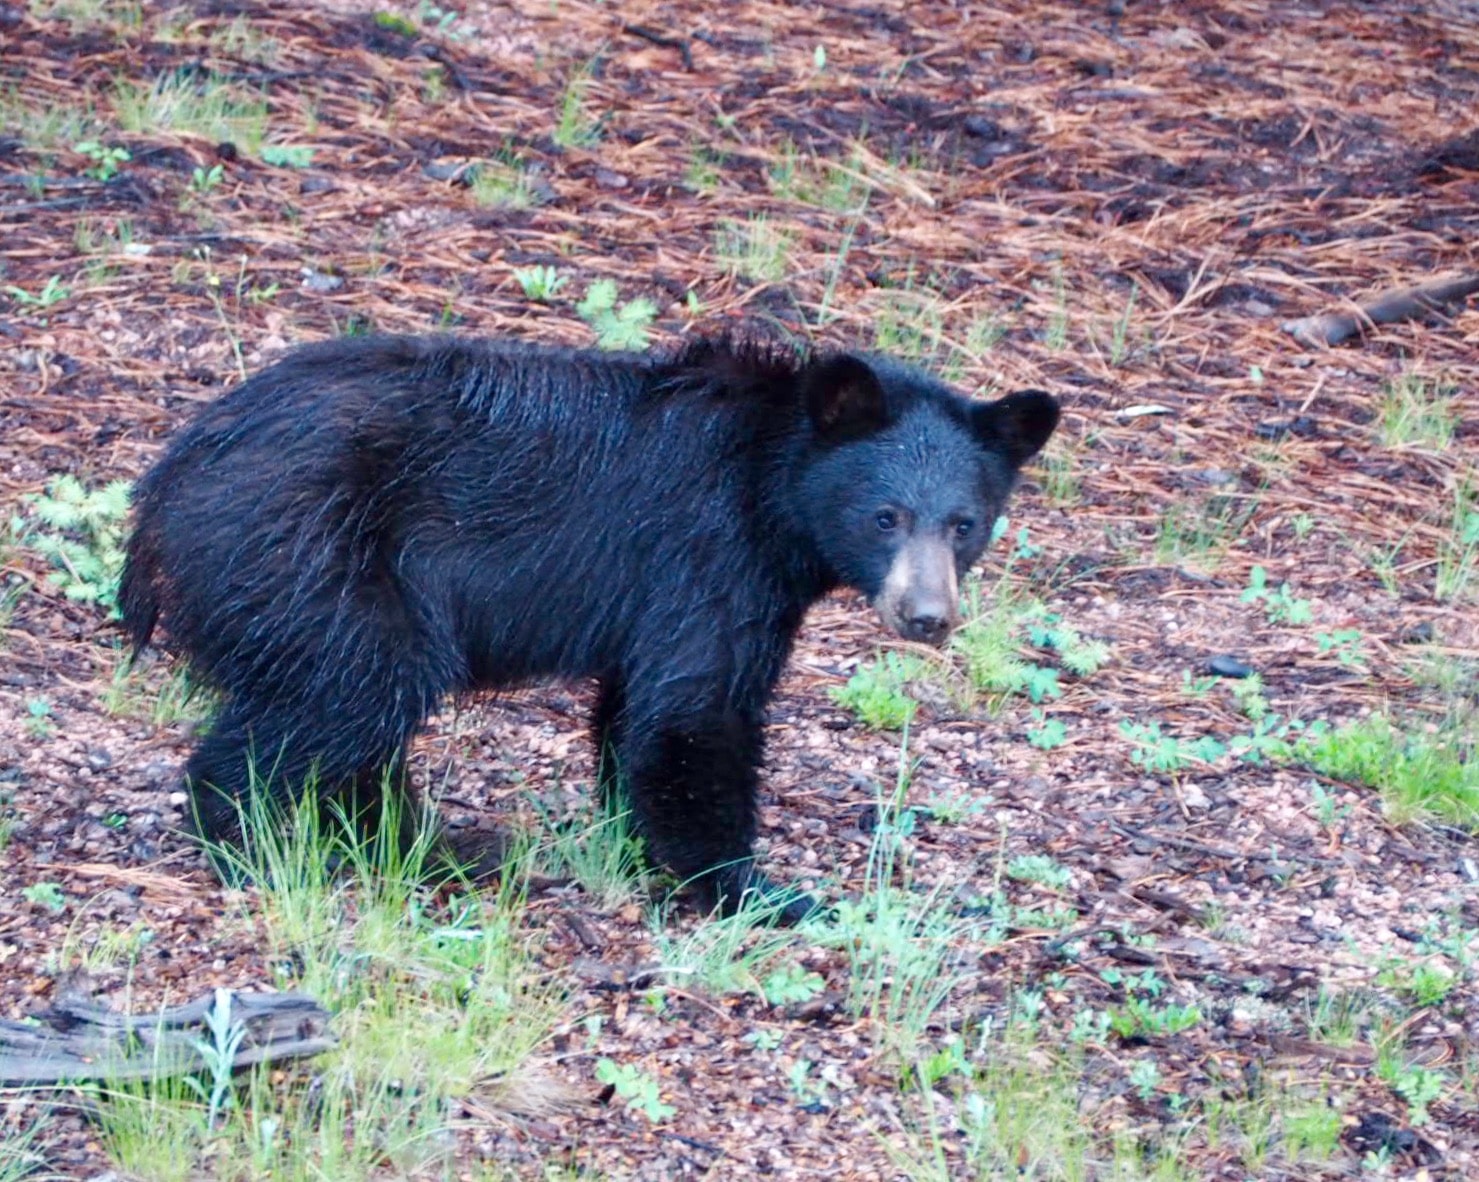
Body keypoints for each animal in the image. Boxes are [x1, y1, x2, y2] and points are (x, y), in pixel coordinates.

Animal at [121, 332, 1058, 923]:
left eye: (965, 522)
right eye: (885, 516)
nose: (927, 617)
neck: (770, 487)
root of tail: (164, 482)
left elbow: (634, 711)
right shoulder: (709, 554)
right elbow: (697, 713)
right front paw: (756, 892)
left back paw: (431, 843)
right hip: (314, 559)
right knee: (347, 697)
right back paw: (252, 842)